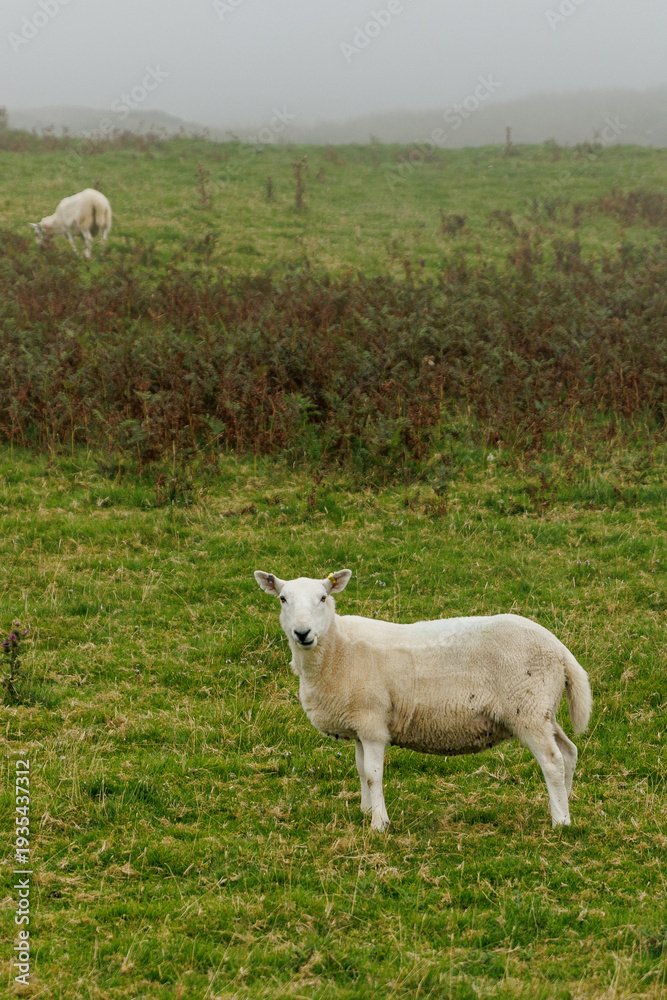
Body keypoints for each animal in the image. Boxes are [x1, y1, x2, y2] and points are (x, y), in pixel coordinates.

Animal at [254, 569, 592, 831]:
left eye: (323, 598)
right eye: (283, 599)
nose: (302, 632)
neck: (337, 649)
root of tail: (559, 648)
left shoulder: (373, 724)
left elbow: (374, 775)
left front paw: (379, 824)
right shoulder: (359, 724)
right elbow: (361, 770)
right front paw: (366, 811)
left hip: (528, 710)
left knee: (552, 761)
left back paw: (560, 821)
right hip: (543, 710)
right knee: (568, 752)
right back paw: (564, 804)